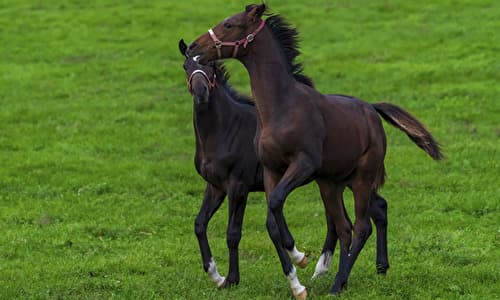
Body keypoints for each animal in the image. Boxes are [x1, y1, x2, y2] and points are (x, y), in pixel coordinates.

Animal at [187, 3, 442, 298]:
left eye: (229, 24)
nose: (194, 46)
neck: (282, 106)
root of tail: (371, 109)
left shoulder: (299, 166)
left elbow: (272, 206)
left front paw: (299, 256)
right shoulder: (270, 171)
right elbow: (271, 221)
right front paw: (296, 279)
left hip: (361, 178)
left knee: (361, 226)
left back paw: (337, 282)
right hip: (332, 183)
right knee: (347, 225)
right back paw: (351, 274)